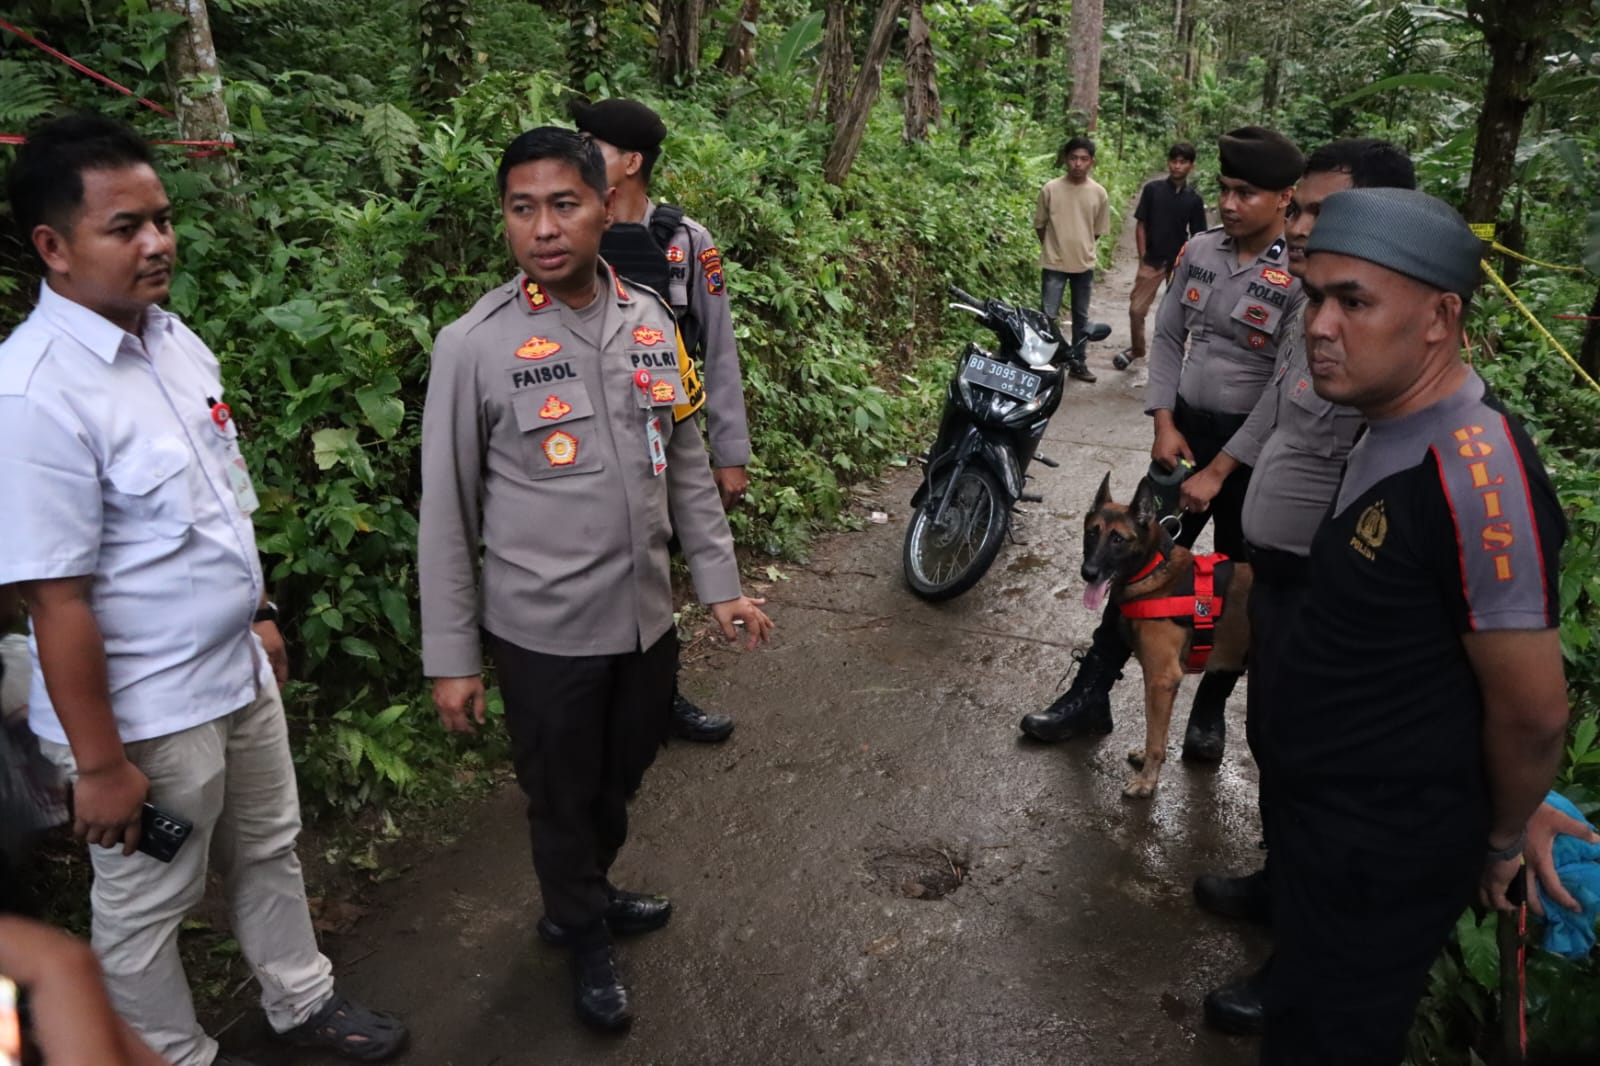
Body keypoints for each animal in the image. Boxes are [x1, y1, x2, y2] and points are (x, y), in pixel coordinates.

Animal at [1081, 473, 1254, 797]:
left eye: (1118, 539)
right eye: (1091, 533)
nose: (1089, 572)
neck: (1152, 569)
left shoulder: (1161, 679)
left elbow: (1155, 739)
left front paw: (1147, 782)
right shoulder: (1162, 682)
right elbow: (1157, 735)